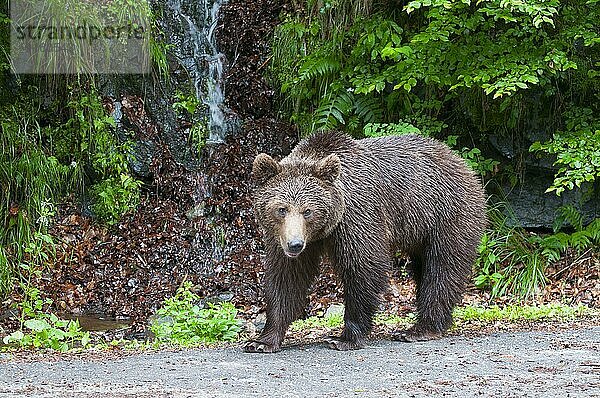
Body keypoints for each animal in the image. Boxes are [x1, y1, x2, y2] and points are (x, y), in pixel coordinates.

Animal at [244, 131, 488, 352]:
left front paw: (344, 338)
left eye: (308, 211)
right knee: (423, 267)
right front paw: (262, 341)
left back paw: (420, 329)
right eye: (281, 209)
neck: (324, 230)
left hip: (445, 215)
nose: (295, 244)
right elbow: (286, 278)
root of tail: (461, 162)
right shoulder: (282, 238)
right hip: (421, 231)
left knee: (442, 268)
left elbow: (364, 266)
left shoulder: (357, 216)